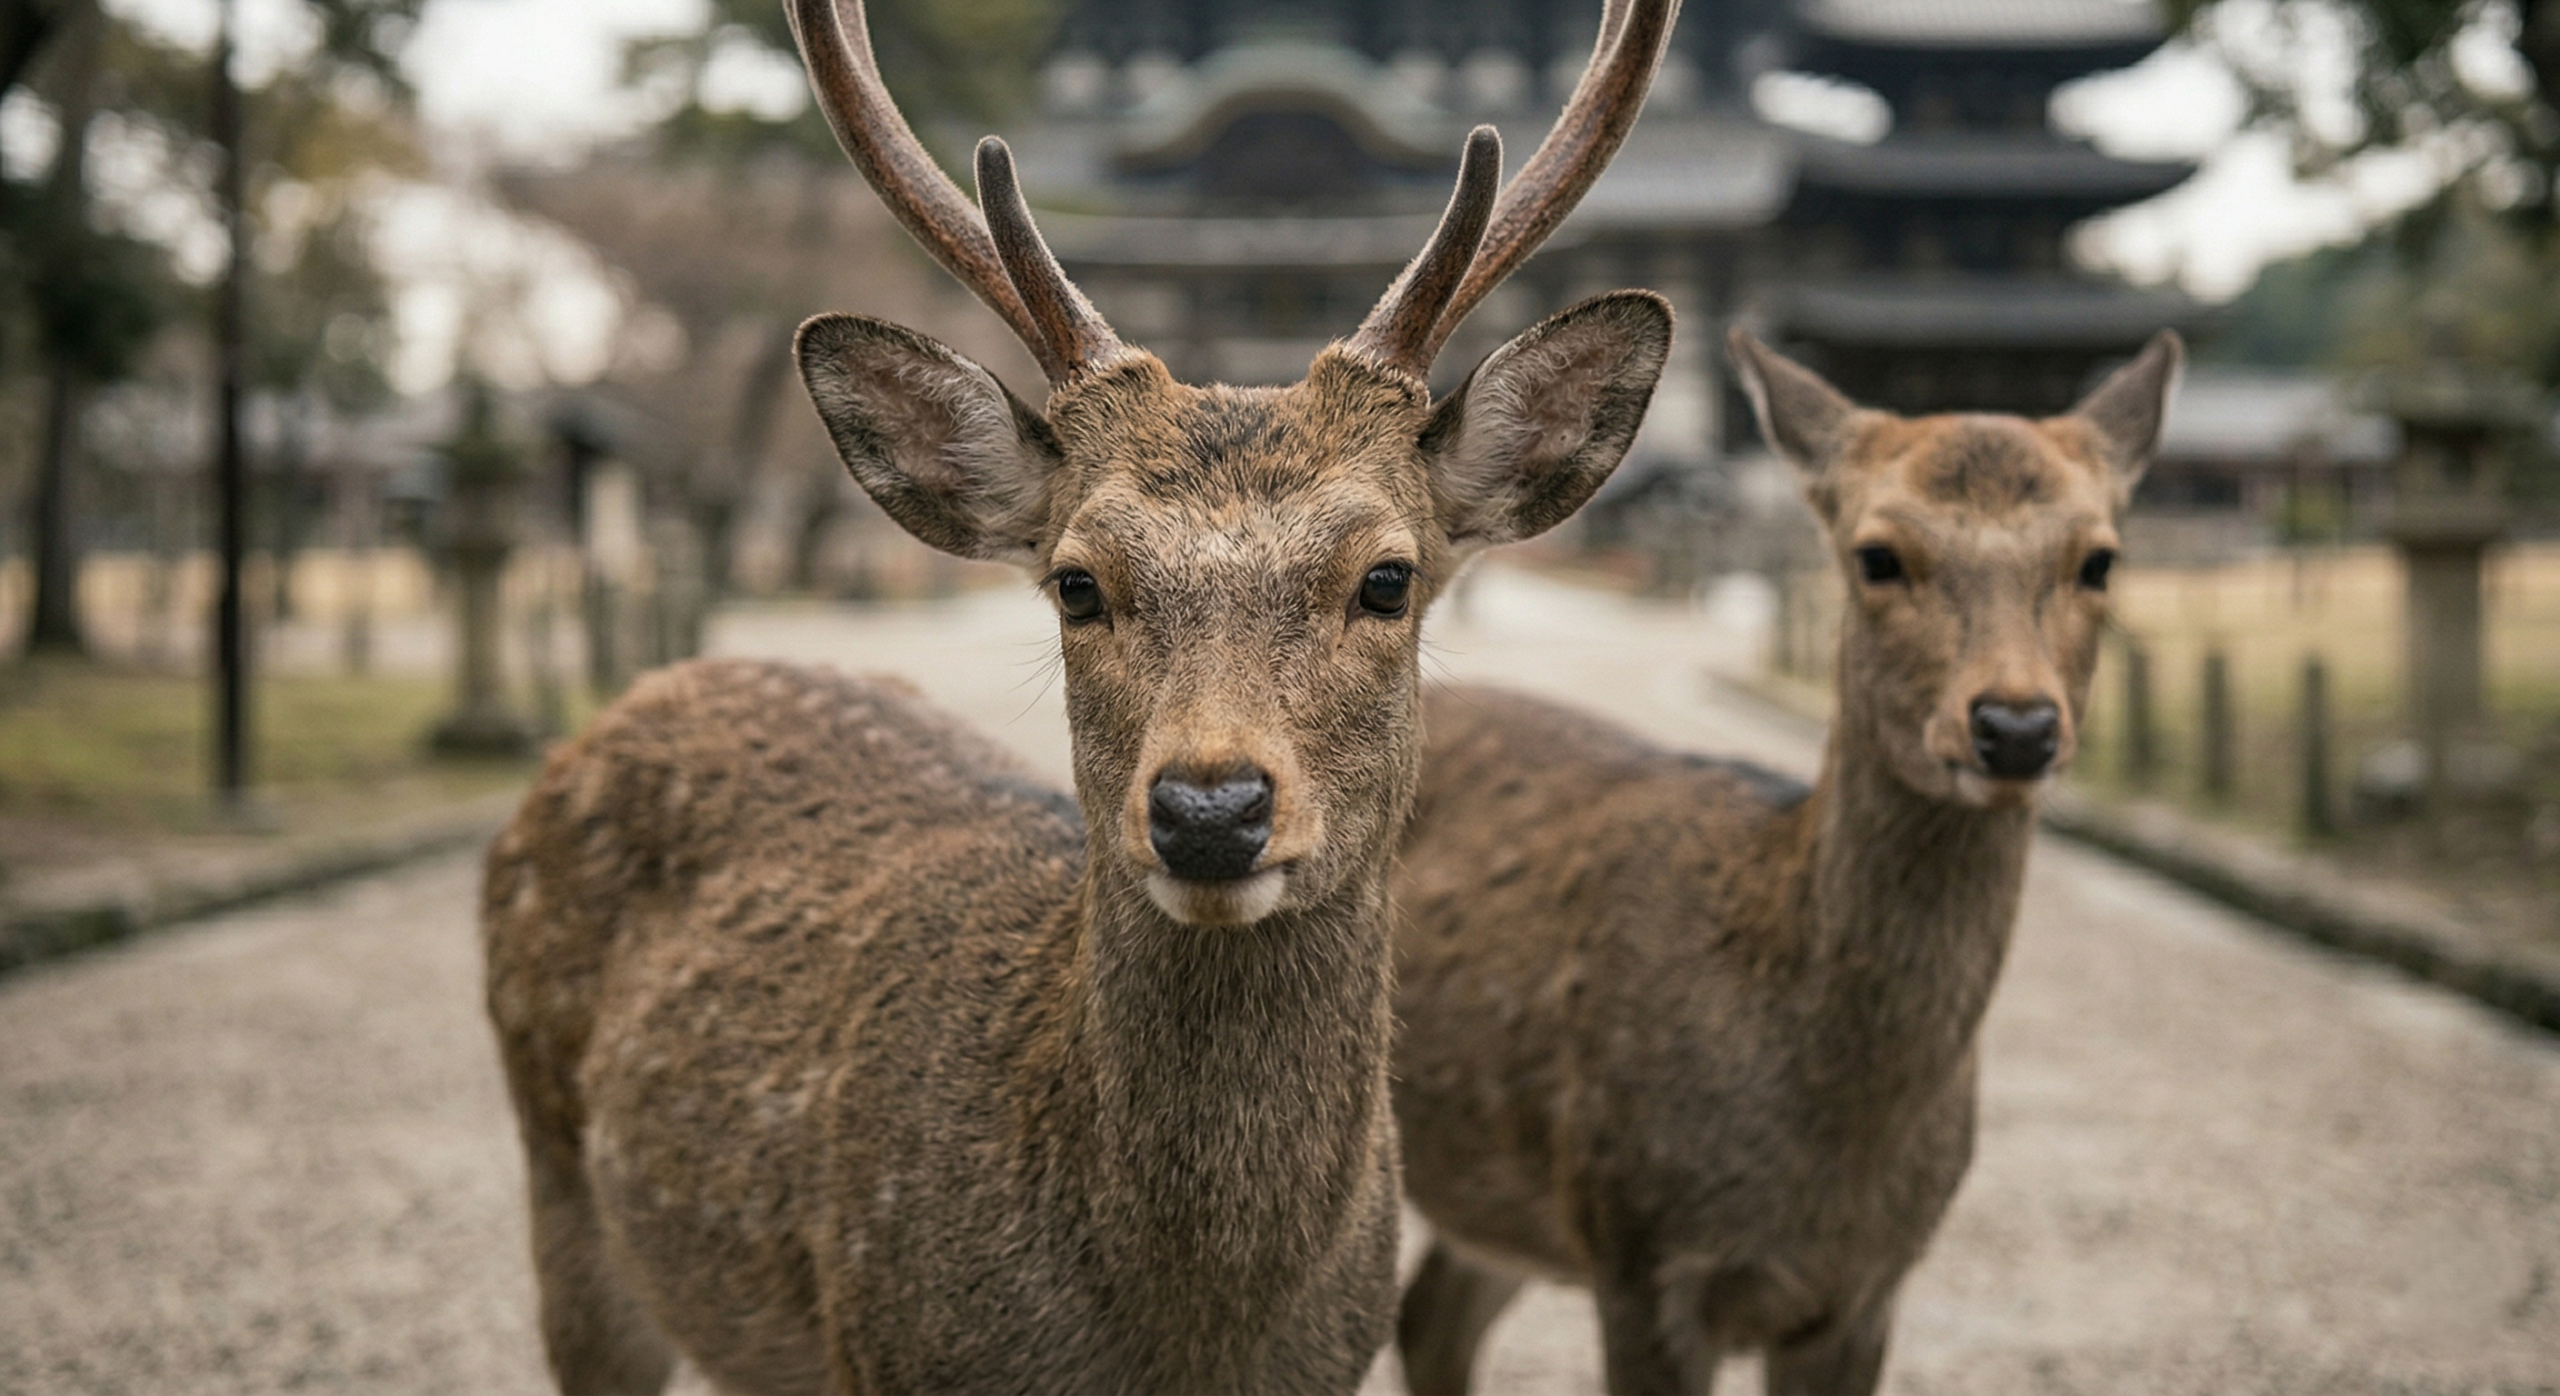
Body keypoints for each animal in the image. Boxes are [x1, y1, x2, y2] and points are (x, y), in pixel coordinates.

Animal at [478, 0, 1683, 1391]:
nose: (1210, 809)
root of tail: (657, 683)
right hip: (561, 1187)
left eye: (1387, 578)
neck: (1189, 1338)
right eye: (1075, 583)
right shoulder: (880, 1344)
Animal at [1387, 327, 2182, 1395]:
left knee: (1431, 1315)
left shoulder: (1868, 1289)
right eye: (1877, 555)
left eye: (2099, 559)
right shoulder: (1639, 1248)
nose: (2016, 727)